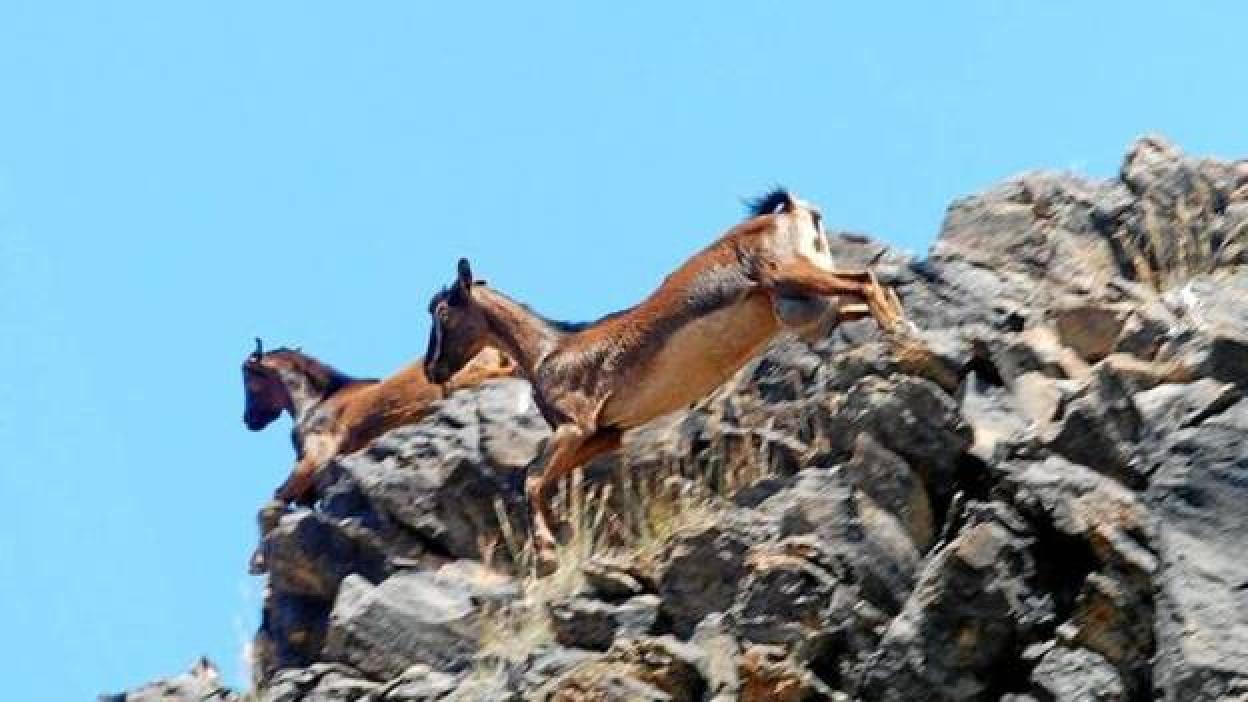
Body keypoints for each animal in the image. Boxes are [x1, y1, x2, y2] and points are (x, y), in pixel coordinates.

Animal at [424, 187, 903, 569]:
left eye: (443, 312)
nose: (432, 369)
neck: (548, 351)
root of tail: (793, 210)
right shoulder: (602, 434)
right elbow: (541, 478)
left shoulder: (574, 424)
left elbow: (532, 478)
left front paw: (545, 550)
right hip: (803, 307)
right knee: (861, 290)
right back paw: (906, 332)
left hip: (789, 274)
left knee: (864, 280)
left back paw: (899, 334)